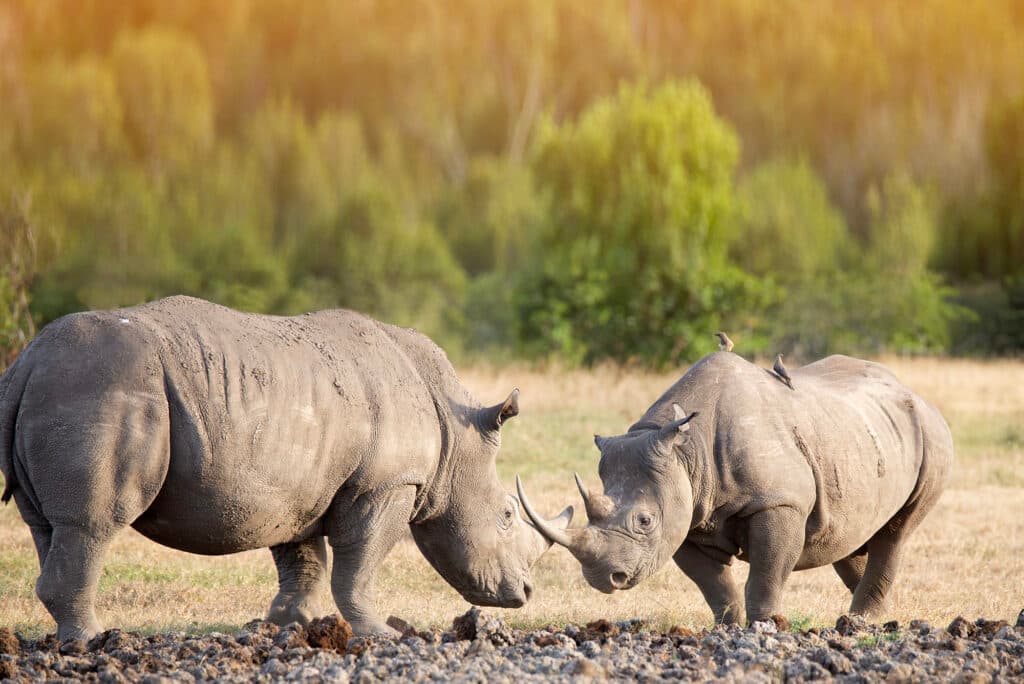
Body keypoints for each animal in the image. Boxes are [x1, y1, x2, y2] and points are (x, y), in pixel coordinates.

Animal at [0, 296, 571, 640]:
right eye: (506, 516)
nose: (525, 594)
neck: (456, 437)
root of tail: (27, 361)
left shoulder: (300, 484)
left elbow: (303, 559)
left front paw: (294, 626)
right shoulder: (386, 484)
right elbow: (358, 565)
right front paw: (382, 635)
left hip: (67, 385)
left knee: (46, 525)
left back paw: (69, 637)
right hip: (102, 385)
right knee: (92, 524)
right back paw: (92, 641)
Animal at [519, 352, 952, 624]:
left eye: (644, 521)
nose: (602, 578)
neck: (686, 451)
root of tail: (915, 394)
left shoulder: (779, 503)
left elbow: (766, 574)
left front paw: (764, 625)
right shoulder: (688, 517)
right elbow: (715, 586)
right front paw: (727, 627)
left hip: (932, 433)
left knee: (895, 533)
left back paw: (860, 622)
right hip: (858, 436)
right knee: (850, 536)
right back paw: (870, 617)